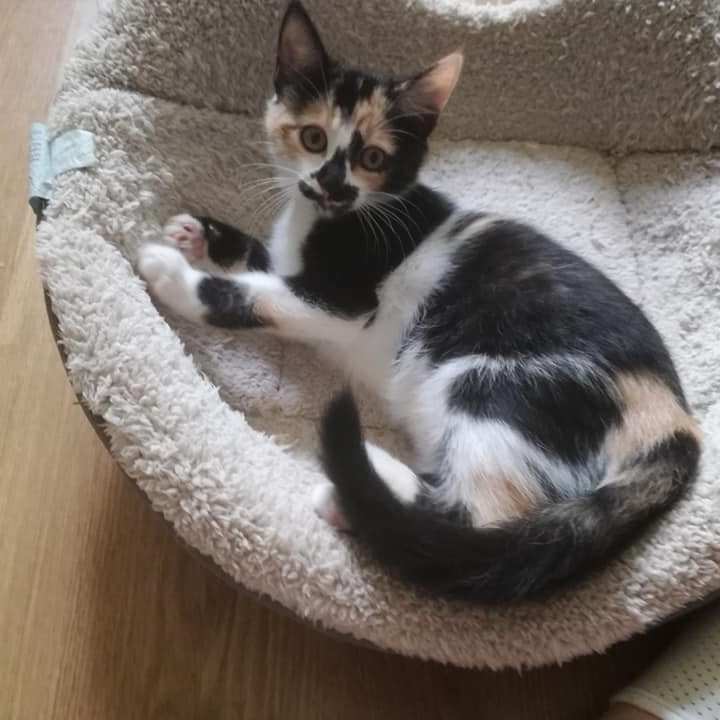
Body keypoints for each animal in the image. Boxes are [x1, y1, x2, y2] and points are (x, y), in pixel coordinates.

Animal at [138, 1, 701, 603]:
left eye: (372, 156)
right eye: (313, 138)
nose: (331, 184)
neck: (334, 216)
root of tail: (675, 421)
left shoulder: (342, 299)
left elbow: (247, 295)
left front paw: (170, 272)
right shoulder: (293, 265)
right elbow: (260, 261)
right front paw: (199, 235)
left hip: (497, 385)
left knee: (480, 520)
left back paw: (359, 490)